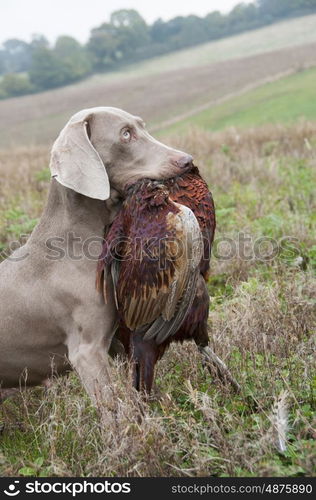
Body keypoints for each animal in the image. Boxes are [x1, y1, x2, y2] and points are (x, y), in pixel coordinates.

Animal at [0, 105, 193, 402]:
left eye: (142, 126)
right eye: (125, 134)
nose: (188, 161)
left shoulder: (115, 341)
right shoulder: (87, 352)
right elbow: (115, 409)